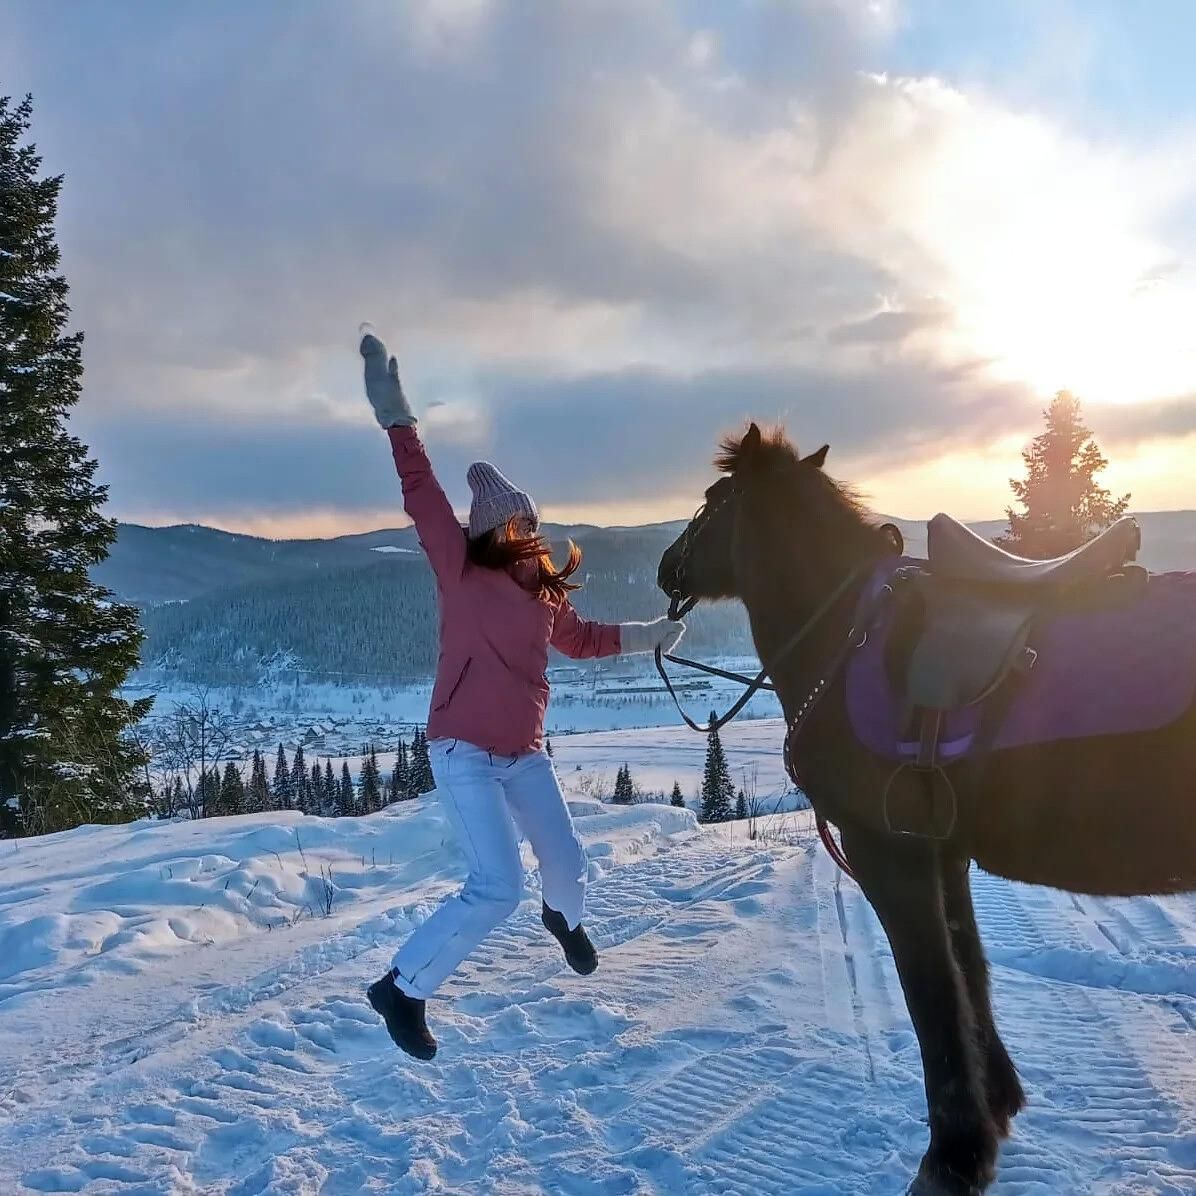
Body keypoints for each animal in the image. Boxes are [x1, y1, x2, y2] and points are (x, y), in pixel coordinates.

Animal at [655, 428, 1196, 1196]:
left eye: (710, 501)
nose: (666, 568)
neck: (841, 638)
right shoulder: (946, 852)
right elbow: (970, 975)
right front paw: (997, 1107)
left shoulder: (888, 852)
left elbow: (932, 997)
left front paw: (953, 1159)